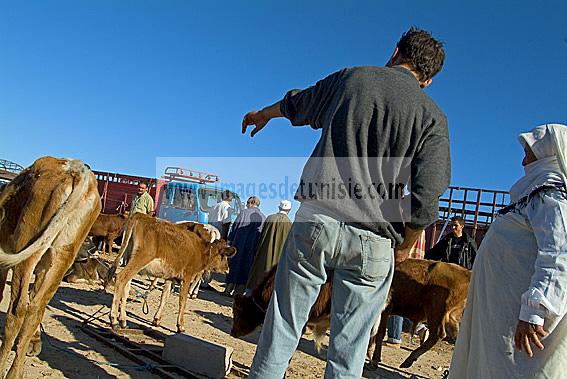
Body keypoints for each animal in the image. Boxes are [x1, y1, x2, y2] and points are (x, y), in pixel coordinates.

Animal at [0, 157, 100, 379]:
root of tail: (77, 170)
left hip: (27, 250)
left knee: (18, 310)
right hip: (60, 259)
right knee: (36, 309)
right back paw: (16, 372)